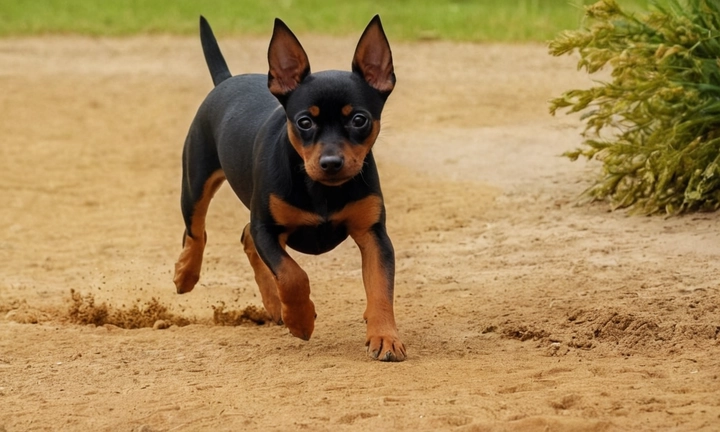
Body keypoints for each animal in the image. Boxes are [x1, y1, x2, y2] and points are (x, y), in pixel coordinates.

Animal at [171, 15, 402, 362]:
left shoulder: (374, 234)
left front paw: (385, 337)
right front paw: (301, 320)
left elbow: (380, 288)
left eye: (359, 119)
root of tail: (226, 80)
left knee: (244, 236)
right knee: (196, 230)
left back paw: (272, 304)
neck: (322, 191)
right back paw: (186, 274)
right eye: (304, 122)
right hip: (196, 182)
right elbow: (292, 275)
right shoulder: (267, 228)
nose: (331, 162)